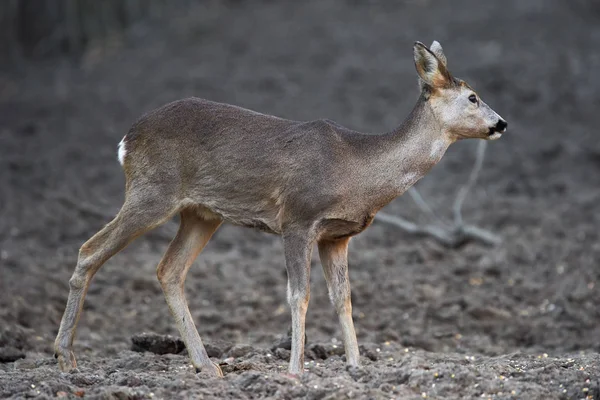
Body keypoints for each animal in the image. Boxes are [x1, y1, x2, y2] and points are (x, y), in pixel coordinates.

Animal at [55, 39, 506, 376]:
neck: (358, 171)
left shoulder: (337, 236)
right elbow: (298, 295)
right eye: (473, 97)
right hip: (152, 191)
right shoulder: (298, 218)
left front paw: (356, 369)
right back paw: (65, 356)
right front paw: (295, 371)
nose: (501, 123)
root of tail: (127, 140)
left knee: (169, 270)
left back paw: (207, 366)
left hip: (201, 213)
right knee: (90, 249)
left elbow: (343, 299)